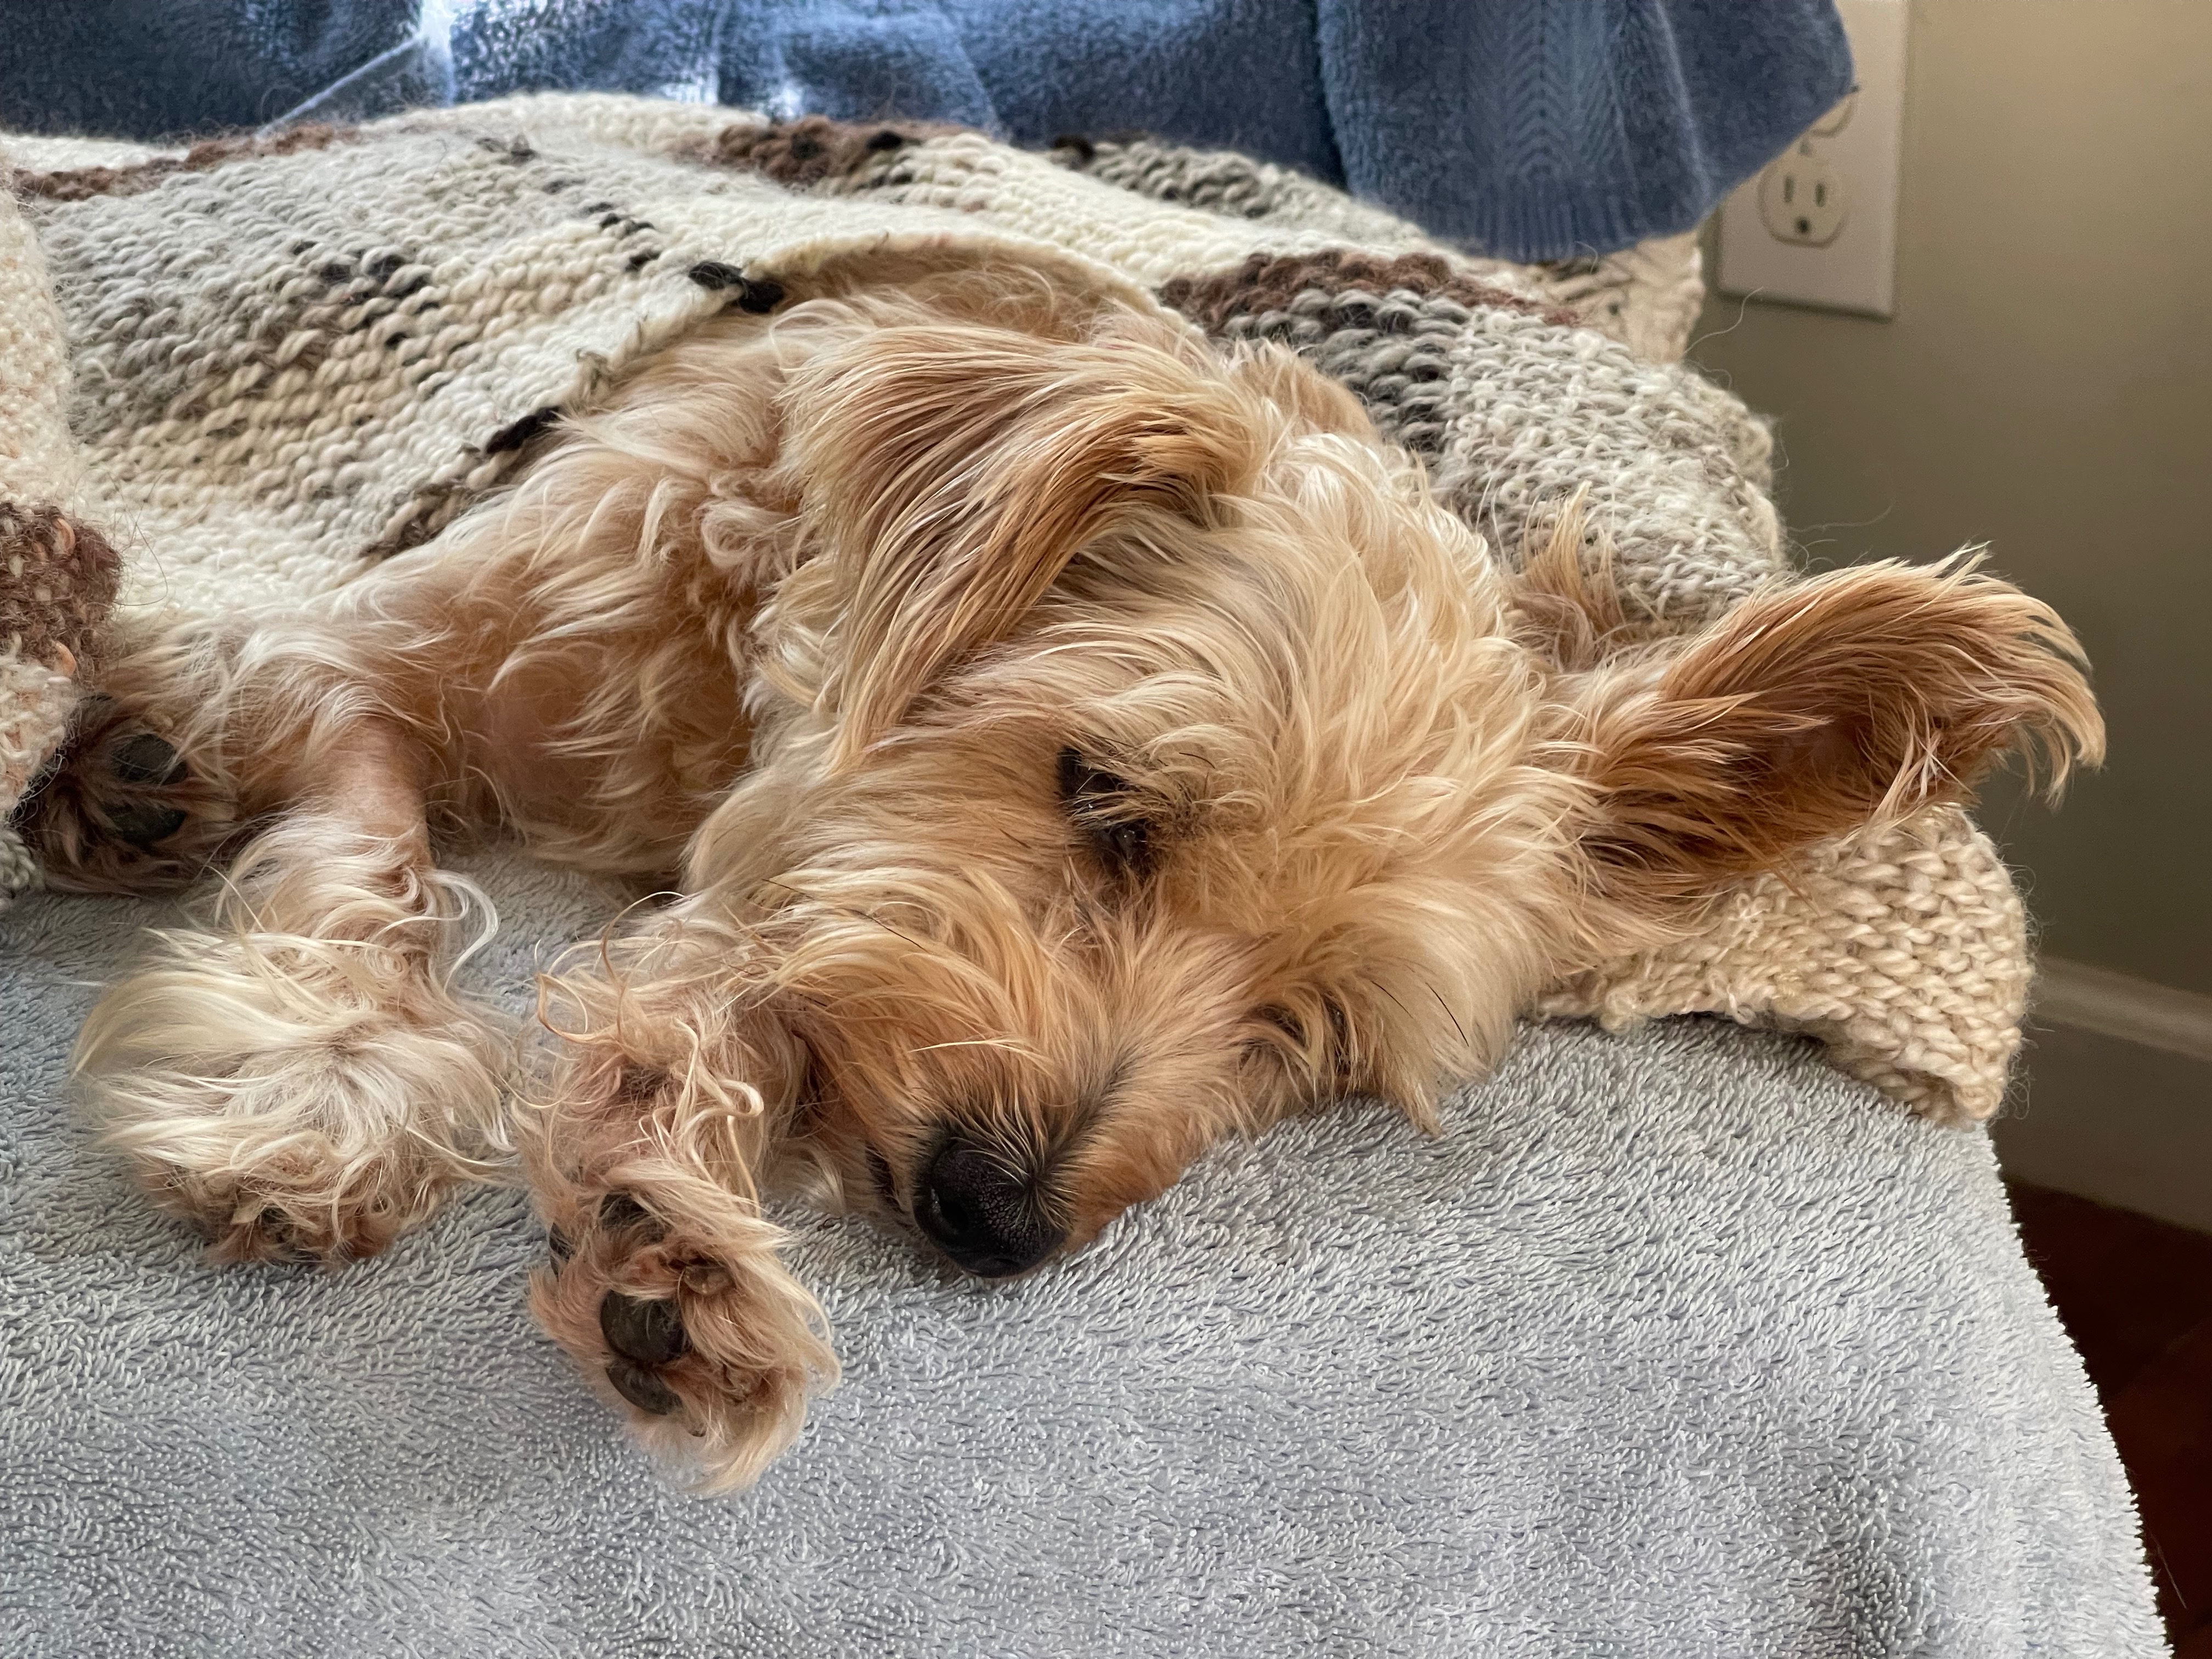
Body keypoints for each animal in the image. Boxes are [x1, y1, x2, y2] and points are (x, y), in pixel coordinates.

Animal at [21, 248, 2101, 1487]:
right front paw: (321, 1079)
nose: (996, 1217)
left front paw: (660, 1212)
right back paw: (116, 748)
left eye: (1310, 1030)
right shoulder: (365, 653)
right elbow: (363, 856)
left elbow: (731, 976)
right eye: (1104, 796)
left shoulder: (790, 889)